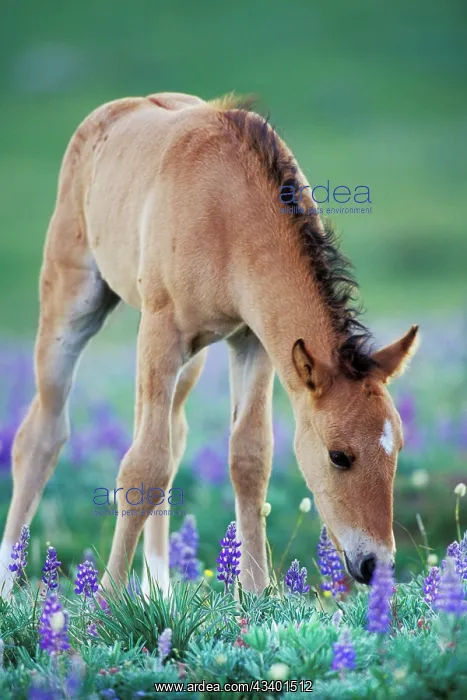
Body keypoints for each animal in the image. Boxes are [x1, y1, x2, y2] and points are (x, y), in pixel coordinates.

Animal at [0, 92, 419, 598]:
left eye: (397, 449)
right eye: (339, 456)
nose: (376, 566)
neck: (228, 212)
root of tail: (111, 111)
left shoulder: (253, 340)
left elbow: (249, 458)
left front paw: (255, 594)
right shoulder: (163, 330)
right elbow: (145, 465)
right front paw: (105, 601)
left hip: (188, 357)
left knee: (172, 432)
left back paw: (158, 589)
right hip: (74, 303)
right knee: (41, 435)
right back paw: (9, 583)